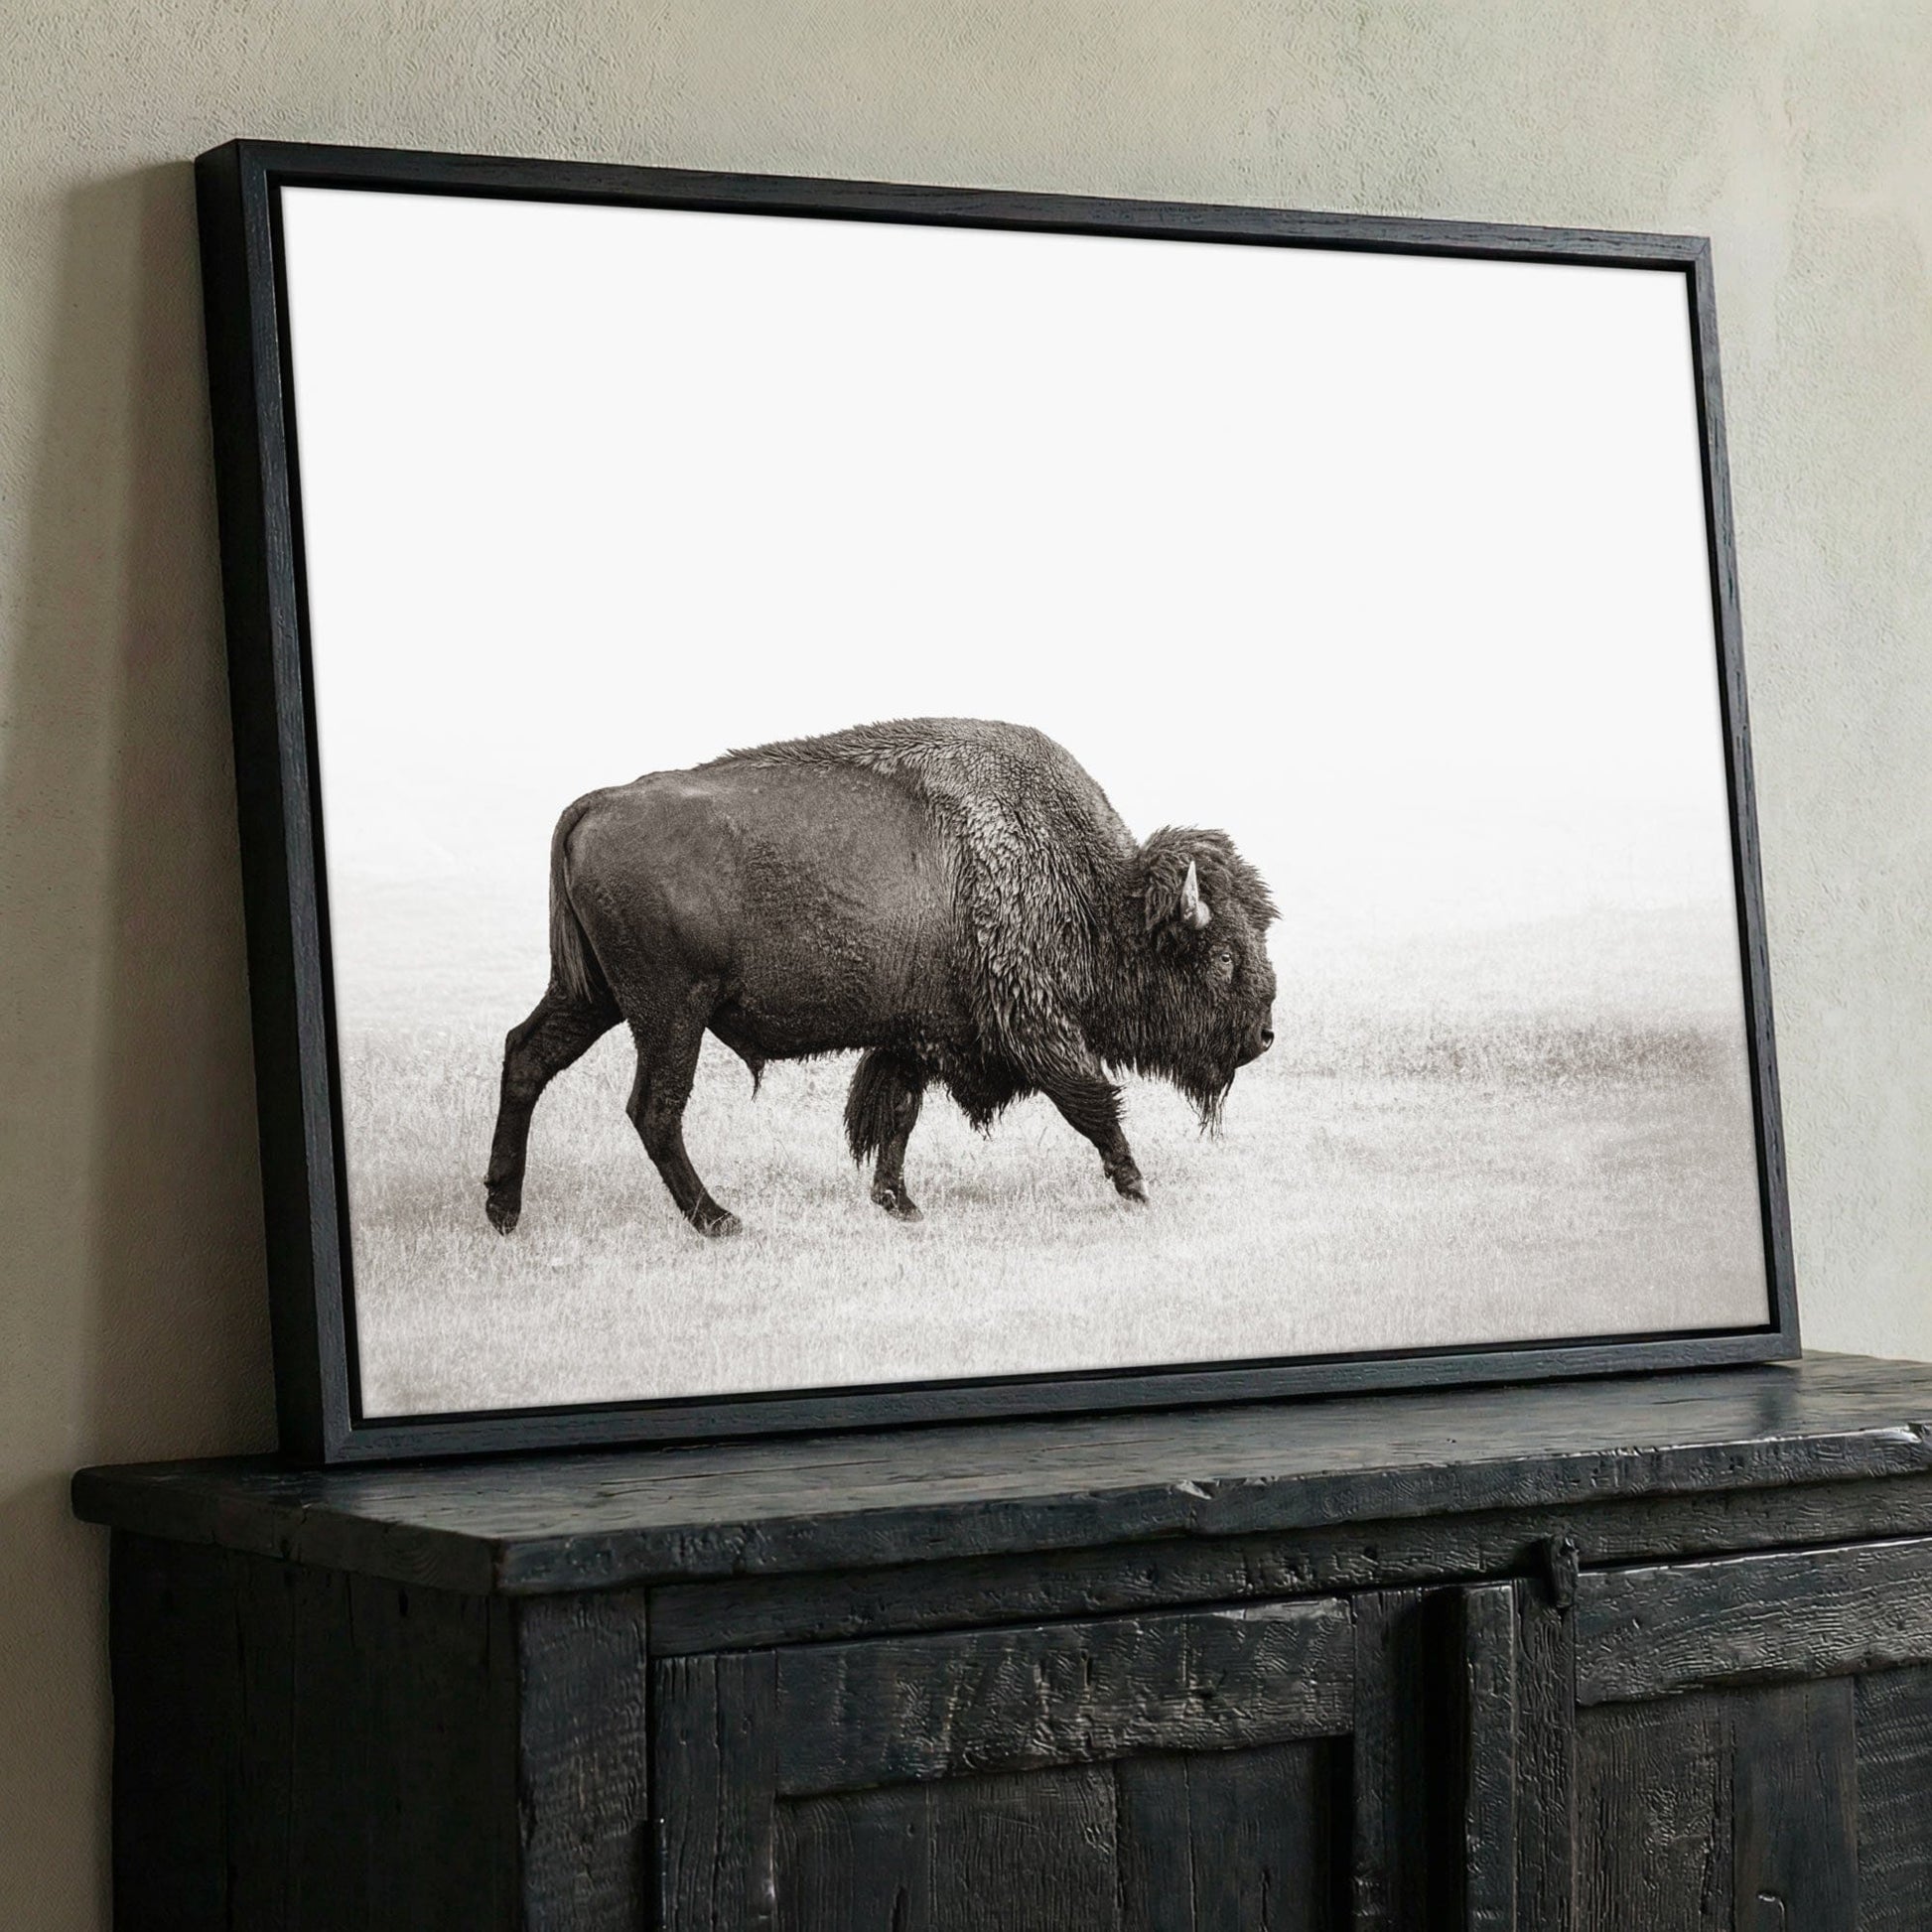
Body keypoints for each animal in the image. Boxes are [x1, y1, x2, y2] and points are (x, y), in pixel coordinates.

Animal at [485, 718, 1277, 1236]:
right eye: (1222, 957)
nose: (1264, 1035)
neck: (1091, 890)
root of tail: (597, 803)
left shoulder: (912, 1036)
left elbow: (893, 1116)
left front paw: (899, 1203)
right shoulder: (1036, 1027)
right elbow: (1091, 1102)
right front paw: (1136, 1186)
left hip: (592, 996)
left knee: (526, 1056)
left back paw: (503, 1209)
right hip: (669, 1010)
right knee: (654, 1108)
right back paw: (719, 1220)